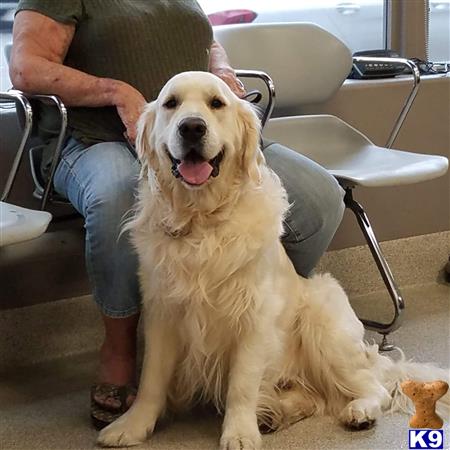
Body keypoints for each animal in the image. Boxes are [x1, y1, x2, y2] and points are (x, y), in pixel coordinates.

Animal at [99, 72, 450, 448]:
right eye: (171, 104)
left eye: (216, 103)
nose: (192, 127)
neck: (202, 221)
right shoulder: (162, 312)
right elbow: (151, 379)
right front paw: (132, 425)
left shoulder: (253, 316)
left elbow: (241, 384)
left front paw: (240, 433)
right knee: (315, 397)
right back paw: (274, 413)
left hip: (323, 322)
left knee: (376, 387)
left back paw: (359, 411)